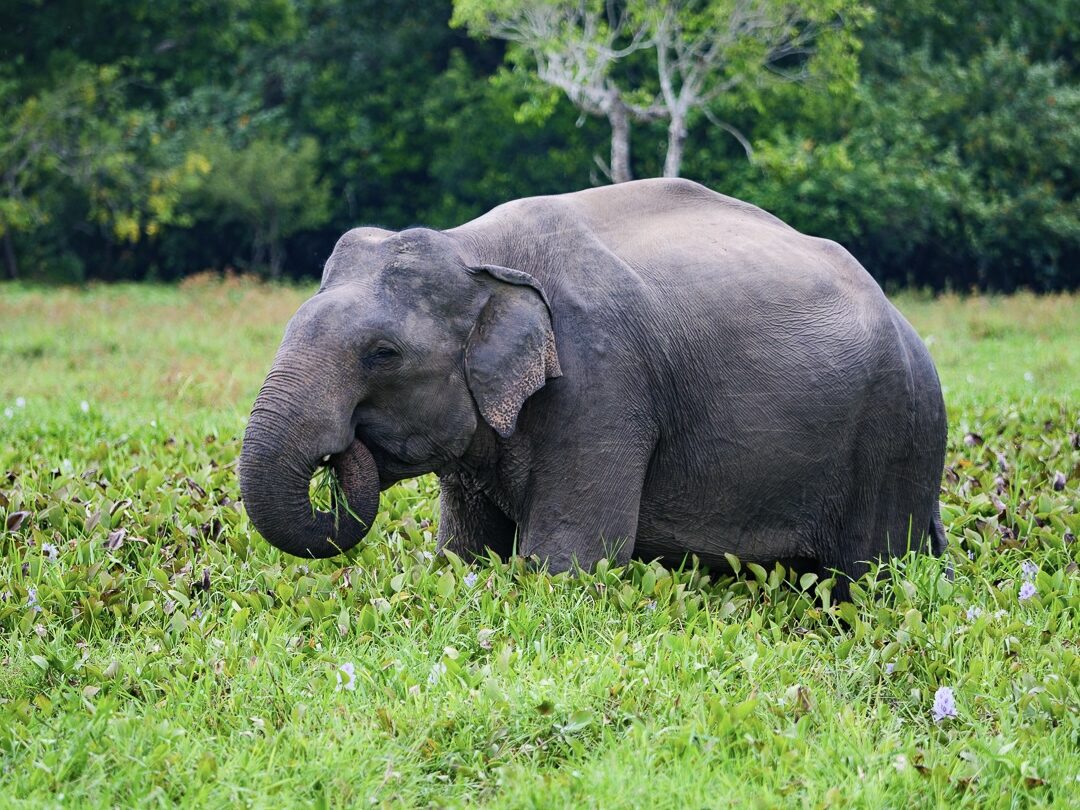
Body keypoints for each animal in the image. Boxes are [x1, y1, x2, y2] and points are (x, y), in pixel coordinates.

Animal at [239, 178, 947, 596]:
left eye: (382, 354)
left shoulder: (601, 388)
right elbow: (466, 556)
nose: (340, 453)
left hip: (896, 440)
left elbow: (565, 565)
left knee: (869, 578)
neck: (474, 247)